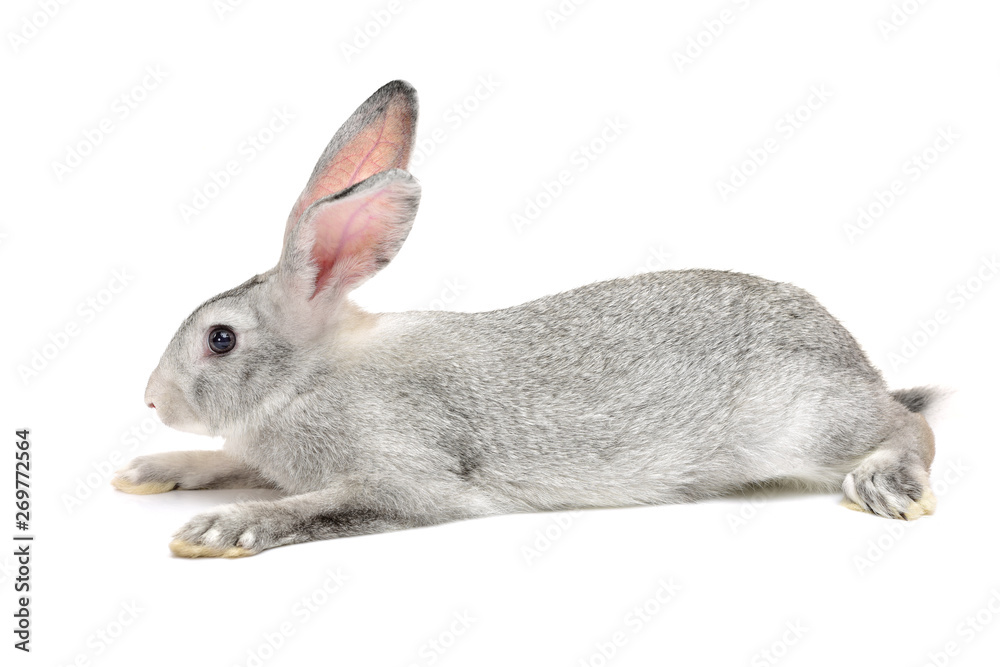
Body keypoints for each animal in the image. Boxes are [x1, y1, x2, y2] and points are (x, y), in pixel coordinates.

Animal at [112, 80, 938, 558]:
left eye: (221, 339)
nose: (152, 400)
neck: (312, 372)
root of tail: (855, 361)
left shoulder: (403, 474)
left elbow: (324, 505)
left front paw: (221, 528)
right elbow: (233, 460)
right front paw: (151, 471)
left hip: (803, 424)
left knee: (910, 428)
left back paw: (887, 482)